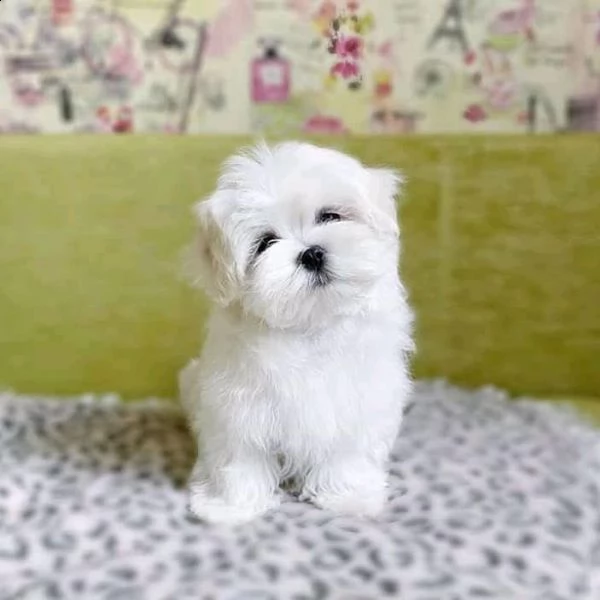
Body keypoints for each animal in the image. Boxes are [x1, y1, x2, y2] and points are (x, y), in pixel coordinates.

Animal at [178, 142, 412, 524]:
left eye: (330, 216)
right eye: (265, 243)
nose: (311, 253)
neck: (309, 325)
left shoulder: (355, 401)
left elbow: (347, 452)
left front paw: (348, 497)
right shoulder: (237, 406)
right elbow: (240, 458)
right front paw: (232, 506)